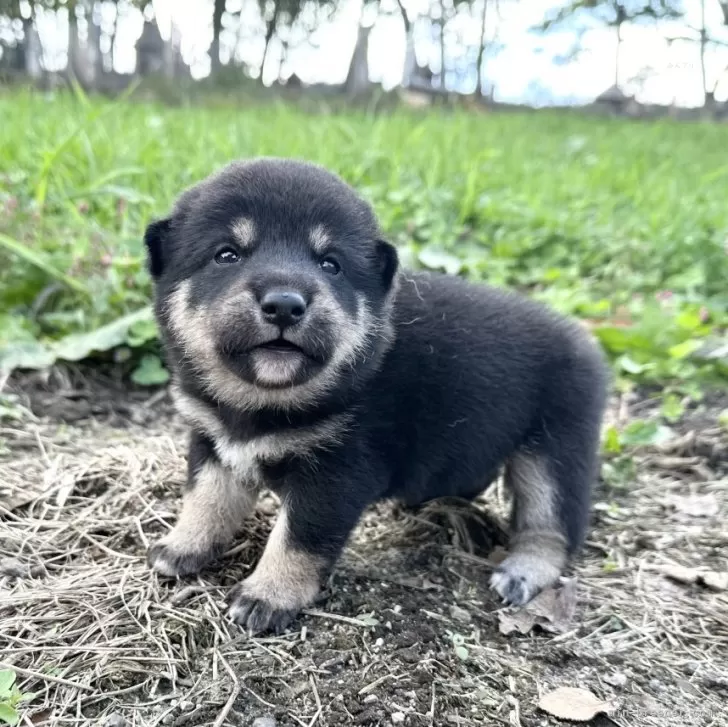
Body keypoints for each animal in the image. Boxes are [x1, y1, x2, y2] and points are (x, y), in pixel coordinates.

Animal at [142, 158, 608, 632]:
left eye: (330, 264)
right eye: (227, 254)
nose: (285, 305)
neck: (262, 401)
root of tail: (585, 343)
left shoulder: (335, 476)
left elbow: (296, 539)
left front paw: (268, 596)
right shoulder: (212, 441)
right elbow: (206, 500)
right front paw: (182, 546)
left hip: (555, 452)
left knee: (552, 526)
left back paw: (523, 572)